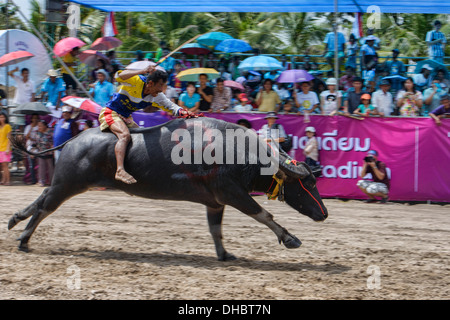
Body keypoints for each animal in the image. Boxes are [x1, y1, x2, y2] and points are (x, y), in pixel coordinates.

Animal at [7, 117, 326, 260]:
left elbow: (216, 230)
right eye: (309, 182)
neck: (237, 152)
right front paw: (290, 238)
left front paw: (224, 254)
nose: (323, 213)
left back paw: (14, 221)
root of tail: (73, 139)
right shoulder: (232, 194)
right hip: (69, 184)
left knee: (41, 199)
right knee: (45, 207)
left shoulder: (215, 202)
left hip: (63, 182)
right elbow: (264, 215)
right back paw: (23, 239)